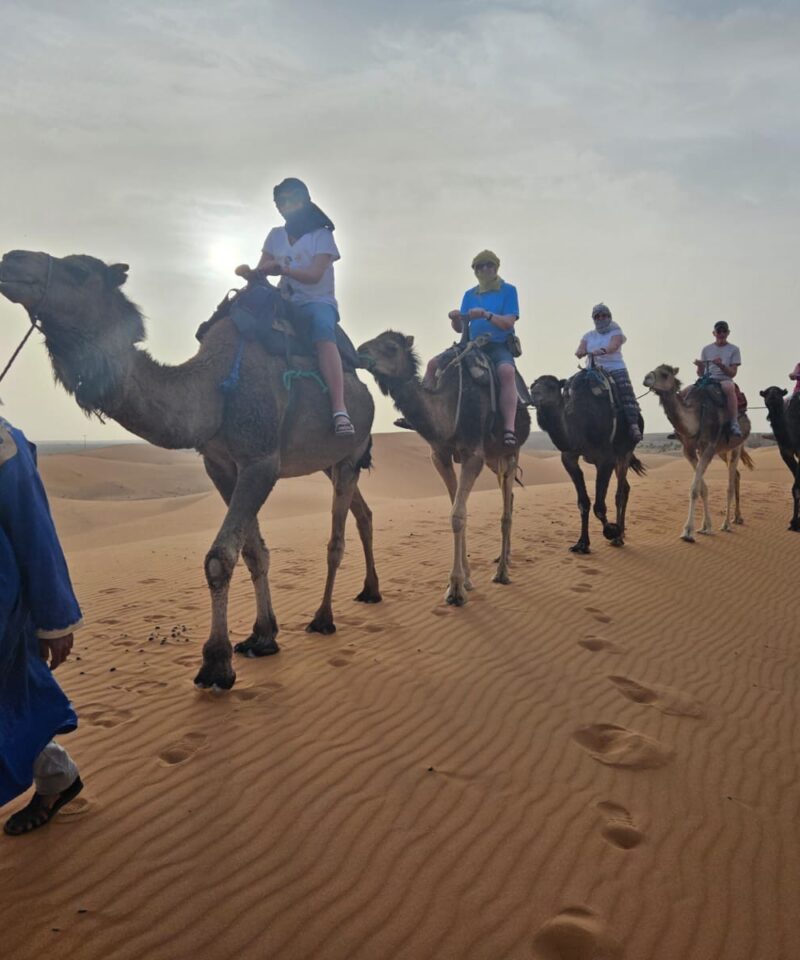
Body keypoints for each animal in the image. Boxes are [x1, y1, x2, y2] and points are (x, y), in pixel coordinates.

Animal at [0, 249, 382, 688]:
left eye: (78, 270)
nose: (11, 259)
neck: (214, 390)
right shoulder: (221, 466)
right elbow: (253, 552)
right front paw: (262, 636)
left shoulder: (261, 461)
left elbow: (219, 558)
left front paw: (216, 663)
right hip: (327, 463)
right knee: (363, 513)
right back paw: (371, 590)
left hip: (350, 453)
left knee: (336, 537)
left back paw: (323, 618)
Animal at [356, 330, 532, 600]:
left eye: (391, 347)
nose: (359, 351)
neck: (449, 411)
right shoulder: (440, 454)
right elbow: (456, 509)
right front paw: (466, 579)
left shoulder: (473, 454)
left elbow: (458, 515)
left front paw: (456, 589)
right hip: (494, 458)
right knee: (509, 497)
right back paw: (506, 558)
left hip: (511, 452)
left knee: (506, 512)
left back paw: (502, 572)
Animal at [528, 376, 648, 556]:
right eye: (532, 386)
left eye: (551, 386)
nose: (535, 395)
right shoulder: (569, 457)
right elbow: (583, 503)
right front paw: (582, 544)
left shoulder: (605, 459)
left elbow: (599, 506)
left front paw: (611, 531)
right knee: (625, 488)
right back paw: (622, 531)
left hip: (625, 451)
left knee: (620, 493)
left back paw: (619, 536)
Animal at [640, 364, 752, 540]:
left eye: (664, 374)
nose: (646, 379)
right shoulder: (689, 450)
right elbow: (702, 488)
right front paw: (705, 526)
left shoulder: (709, 447)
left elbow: (694, 489)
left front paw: (688, 531)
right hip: (722, 450)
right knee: (737, 475)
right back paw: (737, 517)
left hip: (737, 445)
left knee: (730, 484)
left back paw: (726, 524)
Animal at [756, 384, 800, 532]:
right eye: (766, 393)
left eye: (779, 392)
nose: (773, 396)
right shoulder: (786, 453)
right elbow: (795, 488)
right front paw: (793, 522)